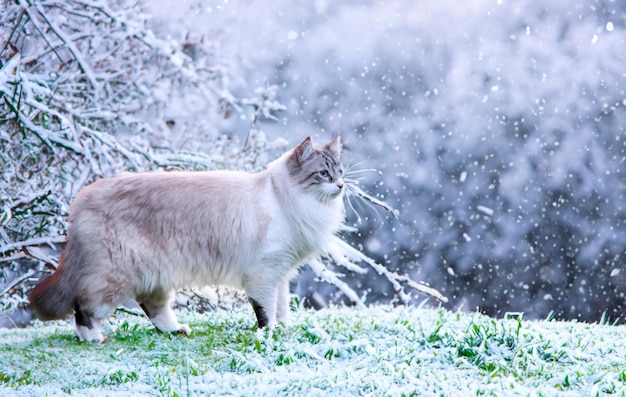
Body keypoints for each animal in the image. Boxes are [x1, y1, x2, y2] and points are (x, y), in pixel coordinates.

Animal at [26, 136, 344, 340]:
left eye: (340, 171)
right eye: (323, 174)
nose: (341, 185)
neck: (284, 198)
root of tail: (83, 197)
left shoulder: (281, 274)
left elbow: (281, 309)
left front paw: (283, 330)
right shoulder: (264, 274)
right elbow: (266, 313)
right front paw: (269, 335)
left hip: (153, 274)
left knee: (152, 307)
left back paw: (176, 331)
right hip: (114, 277)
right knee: (83, 306)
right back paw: (93, 338)